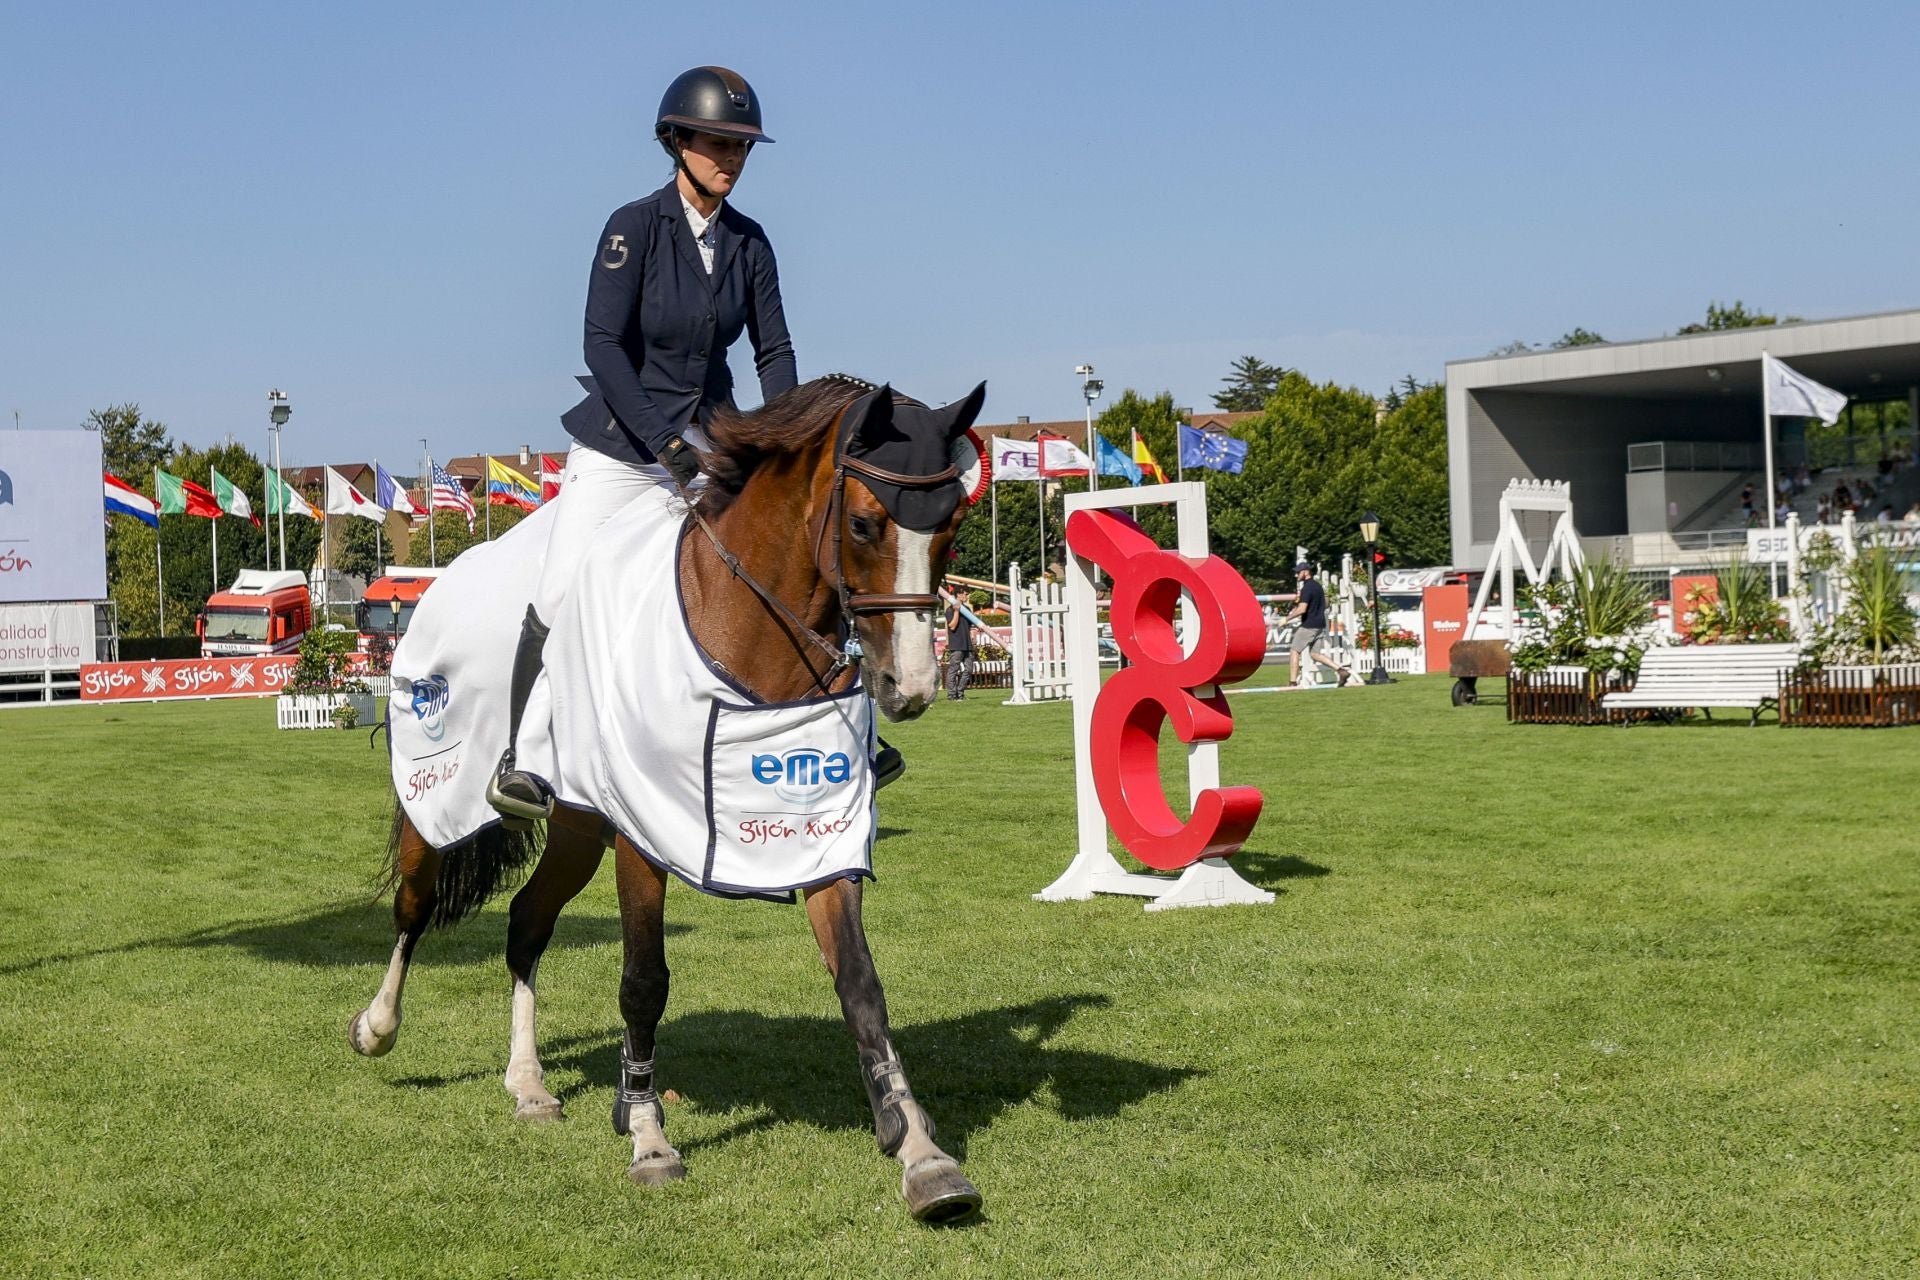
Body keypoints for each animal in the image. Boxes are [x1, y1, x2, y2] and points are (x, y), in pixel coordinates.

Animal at [347, 376, 998, 1228]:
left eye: (951, 527)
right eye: (863, 524)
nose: (911, 688)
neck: (746, 631)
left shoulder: (821, 829)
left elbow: (861, 985)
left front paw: (922, 1154)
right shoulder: (641, 835)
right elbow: (643, 982)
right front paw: (649, 1139)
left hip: (578, 829)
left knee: (526, 922)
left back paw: (529, 1084)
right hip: (443, 799)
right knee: (416, 907)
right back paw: (377, 1027)